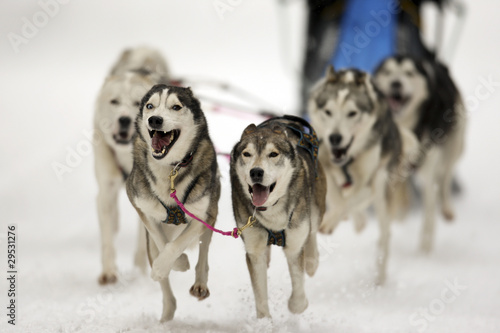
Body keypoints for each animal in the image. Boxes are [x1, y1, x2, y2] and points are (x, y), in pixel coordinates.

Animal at [94, 47, 170, 286]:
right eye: (114, 102)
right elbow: (107, 237)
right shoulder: (106, 189)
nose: (125, 119)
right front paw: (108, 271)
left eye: (140, 103)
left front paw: (140, 269)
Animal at [126, 83, 220, 322]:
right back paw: (167, 313)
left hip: (211, 217)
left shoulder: (204, 215)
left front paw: (176, 262)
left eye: (176, 107)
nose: (155, 120)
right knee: (166, 286)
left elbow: (177, 244)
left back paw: (199, 283)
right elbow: (163, 243)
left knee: (203, 253)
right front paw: (175, 264)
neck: (170, 169)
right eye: (150, 106)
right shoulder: (142, 208)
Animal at [229, 115, 326, 318]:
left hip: (315, 208)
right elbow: (260, 293)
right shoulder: (254, 250)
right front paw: (264, 321)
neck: (270, 210)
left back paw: (312, 262)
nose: (256, 172)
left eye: (273, 154)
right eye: (247, 154)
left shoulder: (295, 244)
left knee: (312, 233)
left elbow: (298, 292)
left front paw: (296, 305)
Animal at [308, 66, 418, 284]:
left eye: (352, 113)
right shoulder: (323, 163)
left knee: (384, 237)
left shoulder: (372, 181)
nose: (335, 138)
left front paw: (331, 221)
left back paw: (380, 279)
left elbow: (351, 200)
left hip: (384, 194)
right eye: (328, 112)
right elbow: (337, 196)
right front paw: (338, 218)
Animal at [374, 55, 466, 252]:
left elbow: (428, 218)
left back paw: (446, 209)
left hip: (455, 146)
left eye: (409, 73)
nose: (396, 83)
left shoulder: (428, 174)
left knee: (446, 177)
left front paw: (424, 250)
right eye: (387, 72)